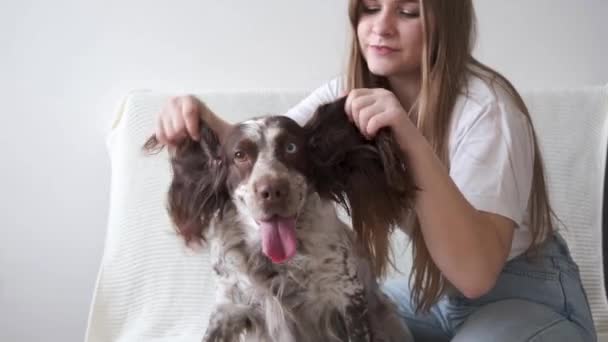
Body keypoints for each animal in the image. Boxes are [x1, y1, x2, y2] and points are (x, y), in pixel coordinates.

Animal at [144, 97, 416, 342]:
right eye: (240, 155)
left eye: (291, 148)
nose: (272, 190)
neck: (276, 266)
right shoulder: (229, 307)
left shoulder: (350, 300)